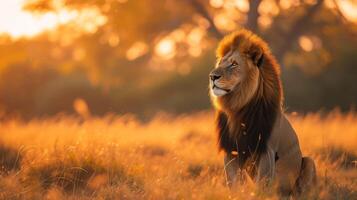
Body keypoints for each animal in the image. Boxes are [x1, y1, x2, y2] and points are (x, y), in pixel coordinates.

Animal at [209, 28, 314, 196]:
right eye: (220, 63)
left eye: (234, 64)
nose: (212, 76)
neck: (238, 108)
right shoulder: (231, 150)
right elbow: (234, 182)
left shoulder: (267, 150)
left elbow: (262, 184)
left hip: (309, 162)